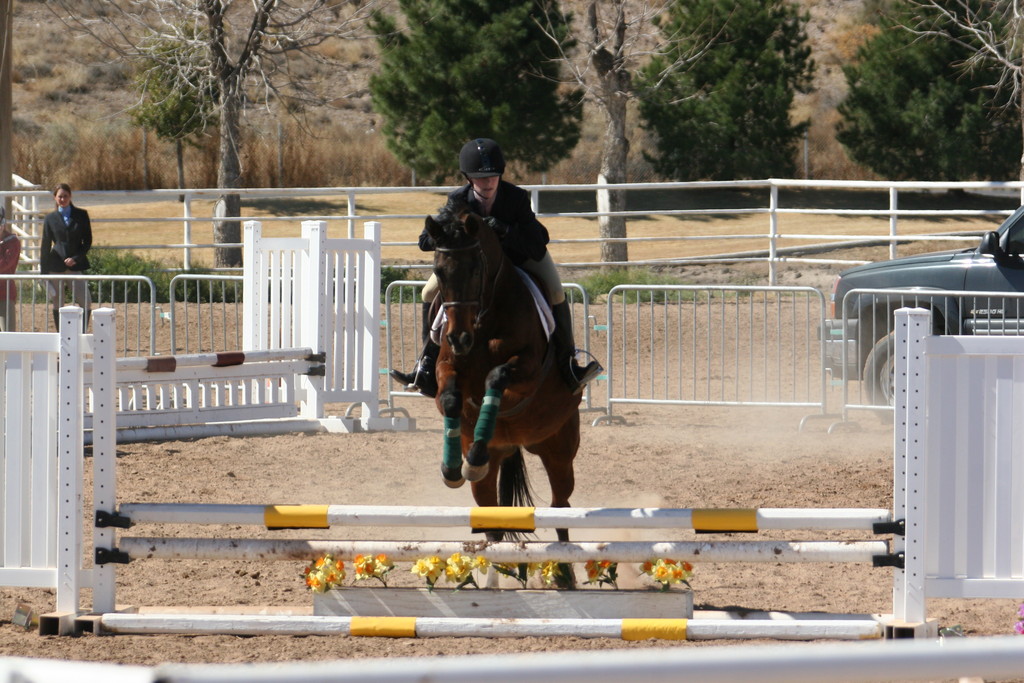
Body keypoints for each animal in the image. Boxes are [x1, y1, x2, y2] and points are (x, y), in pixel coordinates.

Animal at [423, 202, 585, 565]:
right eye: (439, 271)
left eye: (475, 270)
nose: (458, 338)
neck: (484, 321)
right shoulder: (446, 367)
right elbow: (451, 398)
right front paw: (452, 468)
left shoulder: (527, 372)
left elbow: (495, 378)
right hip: (496, 473)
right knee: (492, 518)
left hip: (558, 451)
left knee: (561, 509)